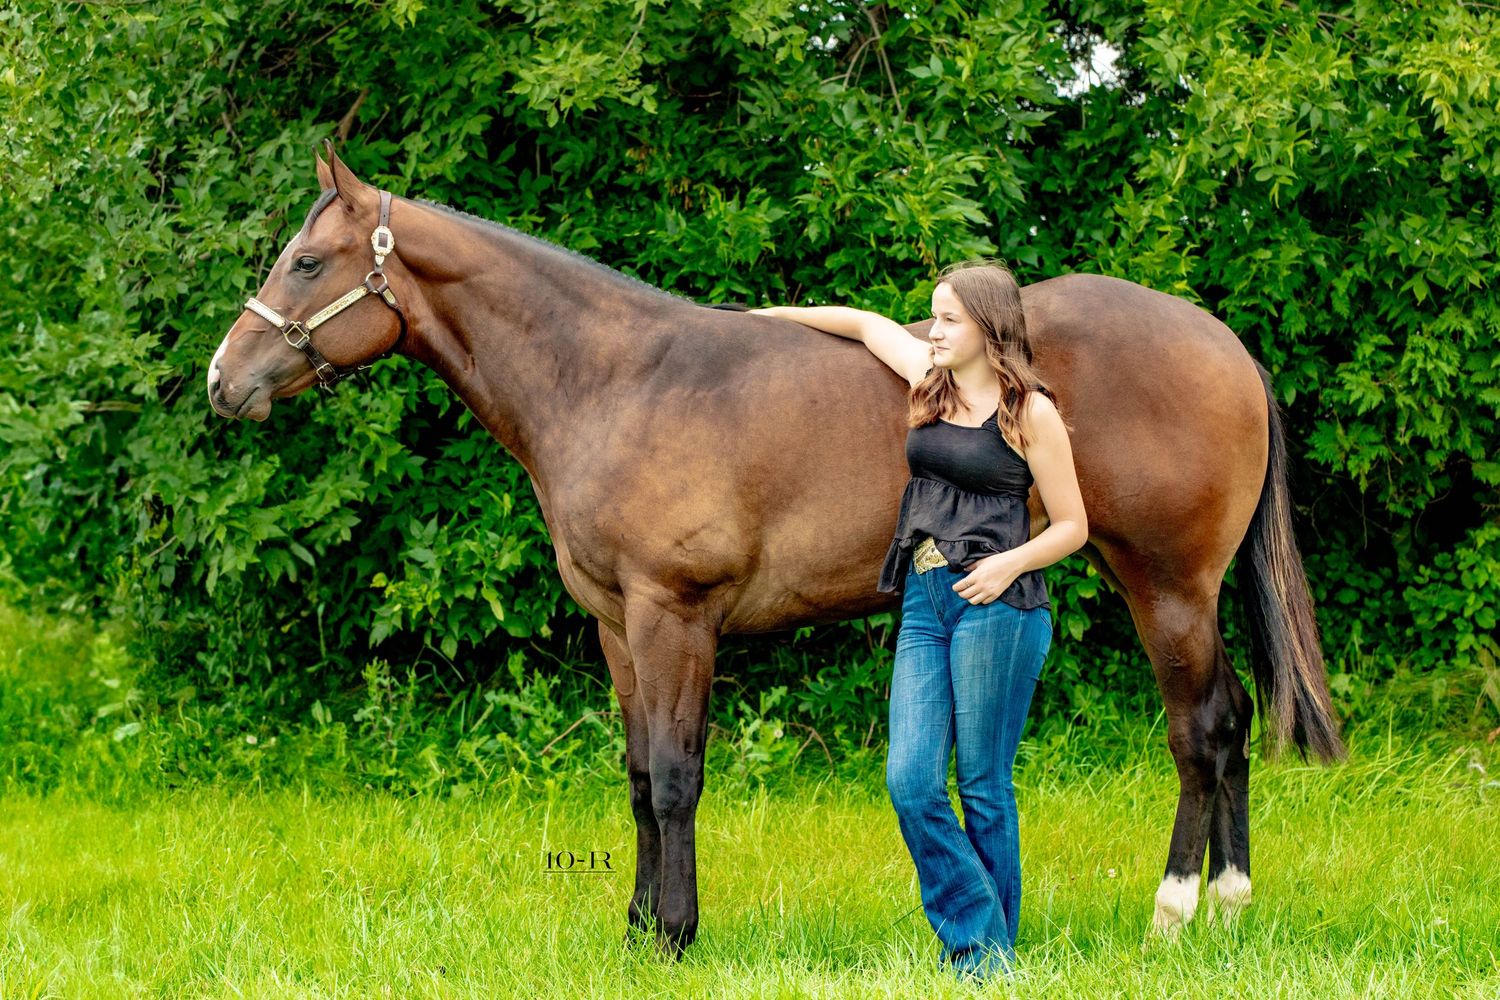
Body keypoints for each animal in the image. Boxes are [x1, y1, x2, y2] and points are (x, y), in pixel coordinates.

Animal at [207, 142, 1342, 955]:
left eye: (306, 261)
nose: (225, 380)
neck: (614, 379)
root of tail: (1223, 341)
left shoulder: (675, 614)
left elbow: (676, 775)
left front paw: (674, 935)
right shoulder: (618, 626)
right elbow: (636, 777)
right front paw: (634, 931)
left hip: (1168, 584)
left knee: (1200, 730)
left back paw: (1178, 910)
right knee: (1233, 722)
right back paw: (1231, 906)